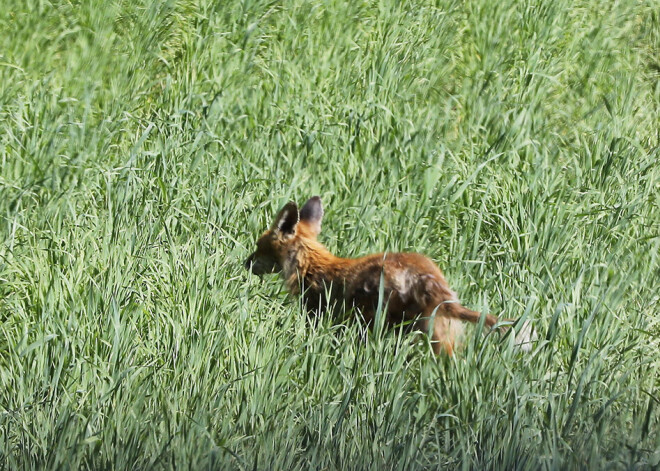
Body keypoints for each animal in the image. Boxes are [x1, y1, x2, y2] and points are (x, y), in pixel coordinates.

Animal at [245, 197, 532, 356]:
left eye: (259, 246)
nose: (245, 263)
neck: (313, 266)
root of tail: (432, 281)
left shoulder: (319, 316)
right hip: (437, 331)